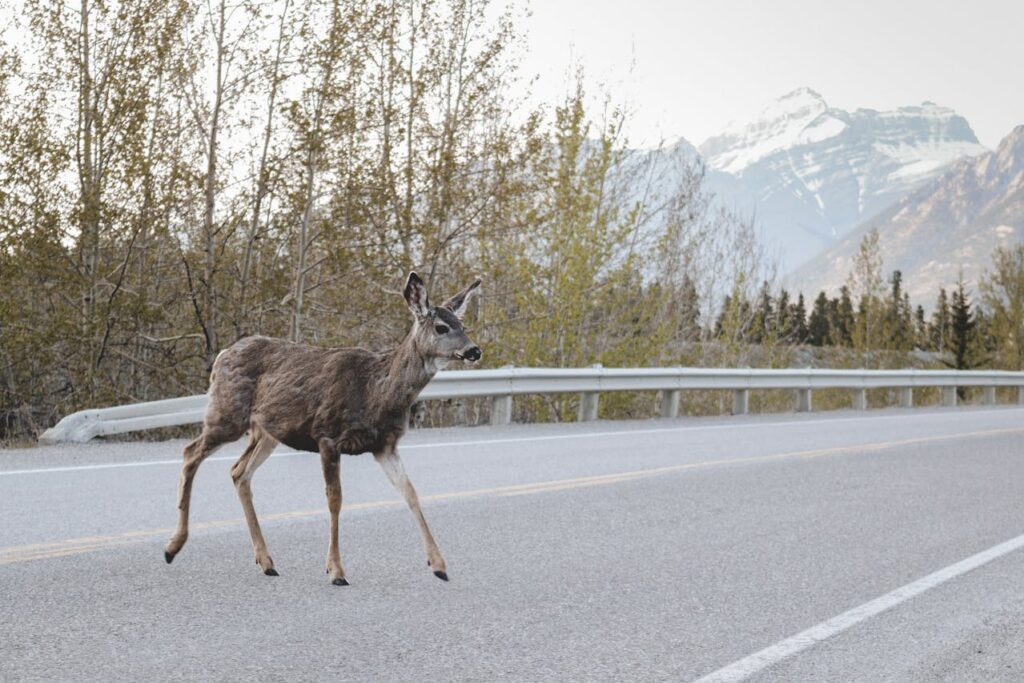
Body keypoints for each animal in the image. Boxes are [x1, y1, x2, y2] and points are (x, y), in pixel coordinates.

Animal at [161, 274, 481, 585]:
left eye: (463, 325)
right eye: (441, 327)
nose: (474, 350)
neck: (377, 392)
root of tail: (222, 354)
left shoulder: (385, 445)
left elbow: (410, 492)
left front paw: (439, 565)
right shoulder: (327, 434)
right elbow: (335, 499)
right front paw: (336, 570)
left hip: (266, 432)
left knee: (238, 471)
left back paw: (266, 562)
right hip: (227, 413)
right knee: (191, 453)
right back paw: (173, 547)